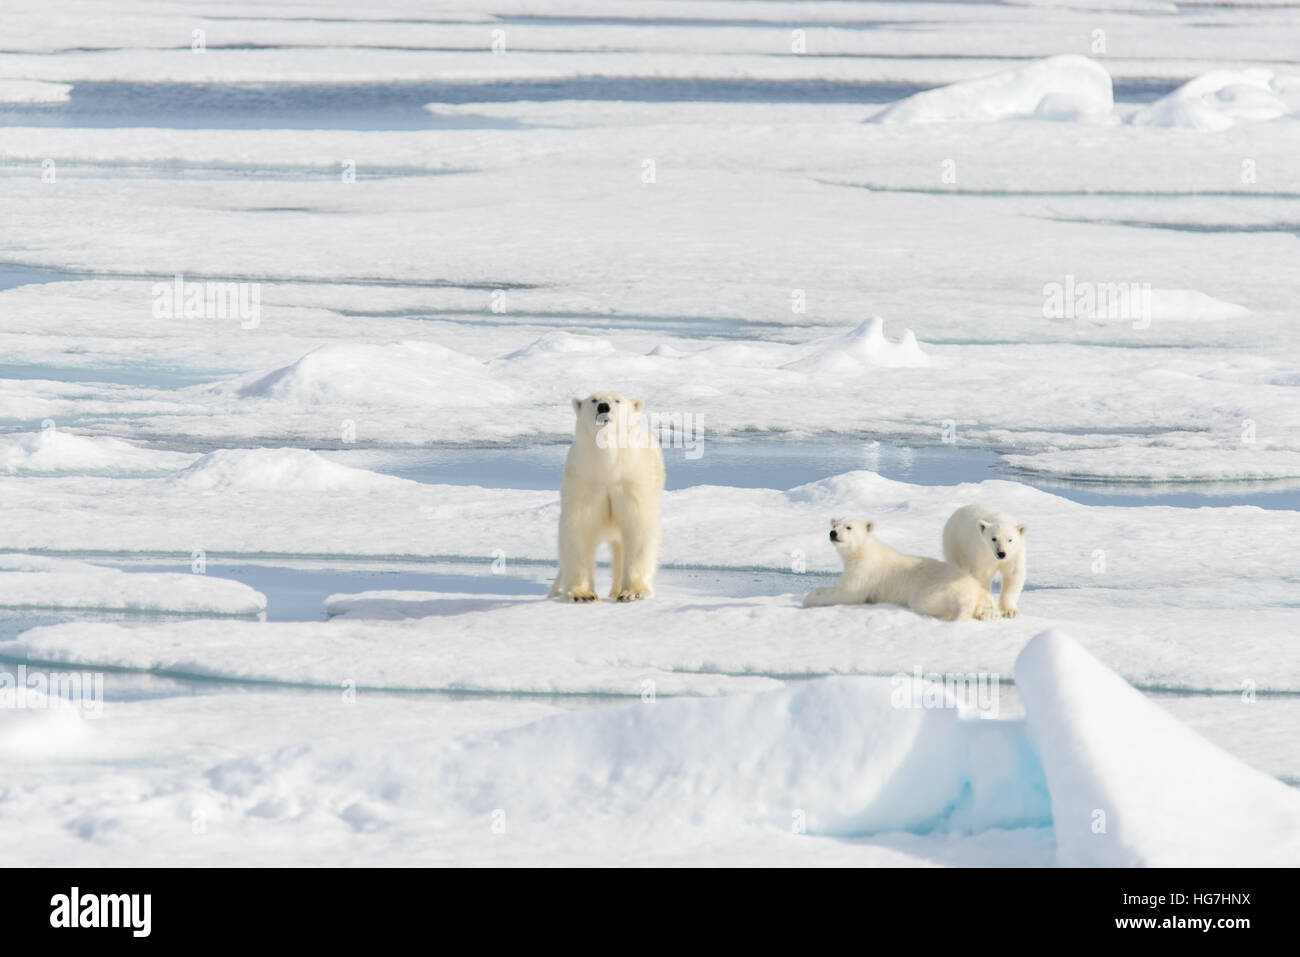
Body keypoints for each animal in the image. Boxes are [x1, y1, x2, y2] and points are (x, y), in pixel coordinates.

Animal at [548, 391, 665, 603]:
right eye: (593, 400)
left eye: (618, 400)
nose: (603, 406)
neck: (608, 467)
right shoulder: (585, 480)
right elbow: (579, 528)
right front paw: (581, 594)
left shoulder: (631, 481)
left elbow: (638, 527)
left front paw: (633, 592)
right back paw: (557, 590)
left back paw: (617, 590)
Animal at [802, 517, 997, 621]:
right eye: (834, 524)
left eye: (848, 527)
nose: (833, 533)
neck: (863, 551)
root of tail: (968, 589)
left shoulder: (865, 571)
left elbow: (848, 593)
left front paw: (810, 597)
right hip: (975, 587)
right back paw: (986, 612)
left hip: (937, 589)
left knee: (926, 602)